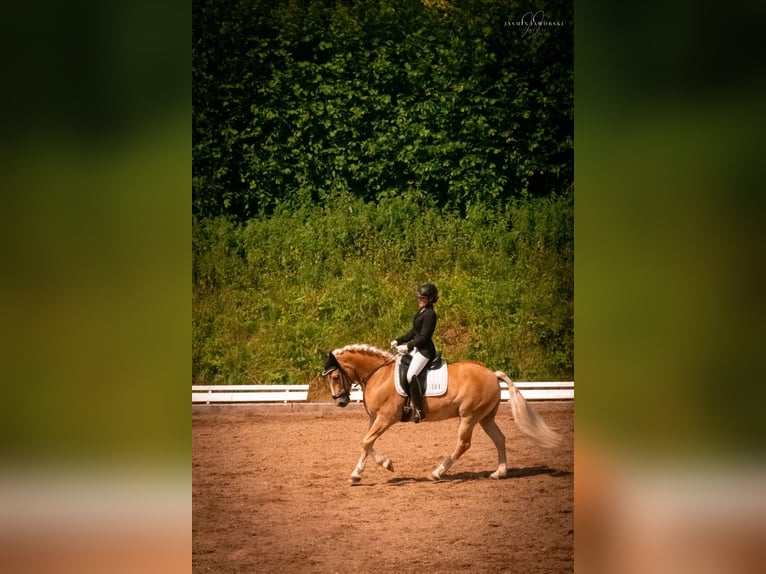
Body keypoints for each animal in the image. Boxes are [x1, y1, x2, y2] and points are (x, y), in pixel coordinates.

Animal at [320, 346, 560, 486]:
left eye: (334, 376)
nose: (340, 402)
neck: (378, 374)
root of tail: (492, 374)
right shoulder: (375, 419)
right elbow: (367, 444)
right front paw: (363, 472)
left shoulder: (386, 418)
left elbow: (366, 442)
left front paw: (378, 467)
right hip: (485, 418)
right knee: (500, 439)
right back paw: (499, 473)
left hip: (468, 416)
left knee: (463, 444)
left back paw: (436, 473)